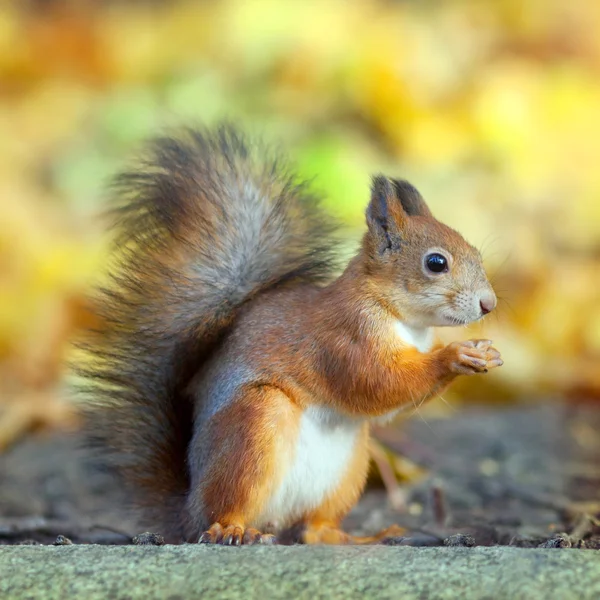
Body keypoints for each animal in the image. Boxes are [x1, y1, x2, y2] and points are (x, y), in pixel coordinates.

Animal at [79, 124, 502, 548]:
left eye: (477, 255)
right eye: (436, 263)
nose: (489, 304)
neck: (403, 319)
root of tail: (188, 511)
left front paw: (484, 353)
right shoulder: (343, 338)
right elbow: (376, 382)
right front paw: (456, 355)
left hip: (349, 470)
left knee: (311, 530)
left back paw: (360, 537)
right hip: (254, 426)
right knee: (227, 509)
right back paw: (231, 528)